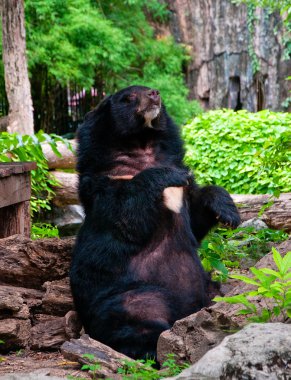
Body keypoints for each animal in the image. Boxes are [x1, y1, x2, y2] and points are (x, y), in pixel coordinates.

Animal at [70, 84, 240, 360]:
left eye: (150, 90)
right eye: (127, 97)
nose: (154, 94)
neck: (143, 145)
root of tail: (186, 311)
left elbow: (196, 216)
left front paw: (228, 214)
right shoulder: (106, 185)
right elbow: (127, 214)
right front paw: (171, 175)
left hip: (209, 288)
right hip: (135, 297)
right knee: (135, 324)